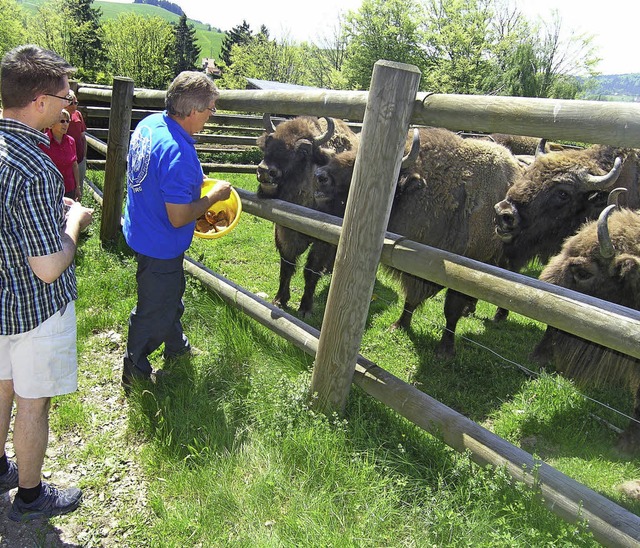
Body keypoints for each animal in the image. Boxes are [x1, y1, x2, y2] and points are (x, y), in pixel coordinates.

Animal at [256, 114, 360, 316]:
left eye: (303, 151)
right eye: (269, 143)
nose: (265, 171)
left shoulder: (322, 242)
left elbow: (310, 271)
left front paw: (305, 308)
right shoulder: (284, 233)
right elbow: (287, 266)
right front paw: (279, 300)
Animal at [312, 126, 524, 358]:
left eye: (356, 167)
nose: (320, 176)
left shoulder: (463, 272)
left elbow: (451, 310)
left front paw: (445, 349)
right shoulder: (415, 271)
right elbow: (410, 299)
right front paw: (399, 325)